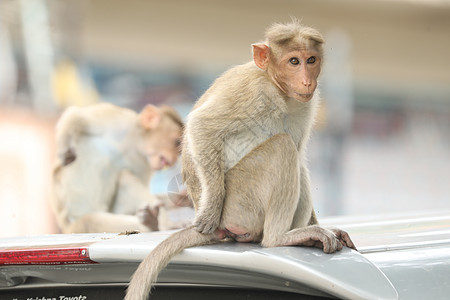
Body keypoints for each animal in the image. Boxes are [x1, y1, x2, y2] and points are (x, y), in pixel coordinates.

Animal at [124, 21, 356, 300]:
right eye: (293, 61)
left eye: (311, 60)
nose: (307, 81)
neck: (277, 89)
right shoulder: (252, 91)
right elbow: (202, 126)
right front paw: (210, 209)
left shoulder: (306, 105)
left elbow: (300, 153)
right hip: (239, 203)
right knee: (282, 147)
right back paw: (279, 238)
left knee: (297, 161)